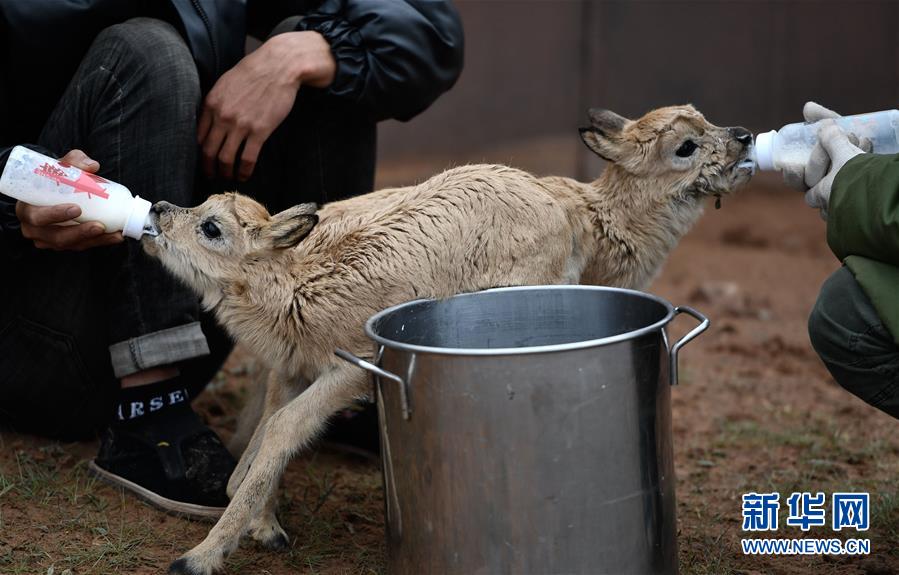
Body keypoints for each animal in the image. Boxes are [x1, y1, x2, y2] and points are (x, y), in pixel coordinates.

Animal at [151, 106, 756, 572]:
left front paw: (232, 529)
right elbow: (281, 426)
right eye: (685, 146)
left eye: (211, 225)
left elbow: (277, 428)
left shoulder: (318, 364)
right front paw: (204, 553)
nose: (745, 137)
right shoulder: (338, 364)